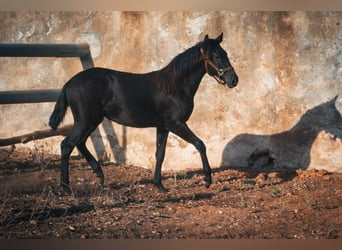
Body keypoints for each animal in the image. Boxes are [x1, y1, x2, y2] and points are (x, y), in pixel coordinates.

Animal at [49, 33, 239, 192]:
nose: (233, 80)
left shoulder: (163, 127)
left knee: (79, 143)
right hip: (85, 120)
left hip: (92, 120)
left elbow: (160, 154)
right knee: (67, 145)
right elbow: (200, 144)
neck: (175, 86)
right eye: (216, 56)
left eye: (226, 53)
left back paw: (99, 175)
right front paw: (207, 179)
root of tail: (69, 83)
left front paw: (159, 185)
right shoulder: (176, 124)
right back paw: (66, 187)